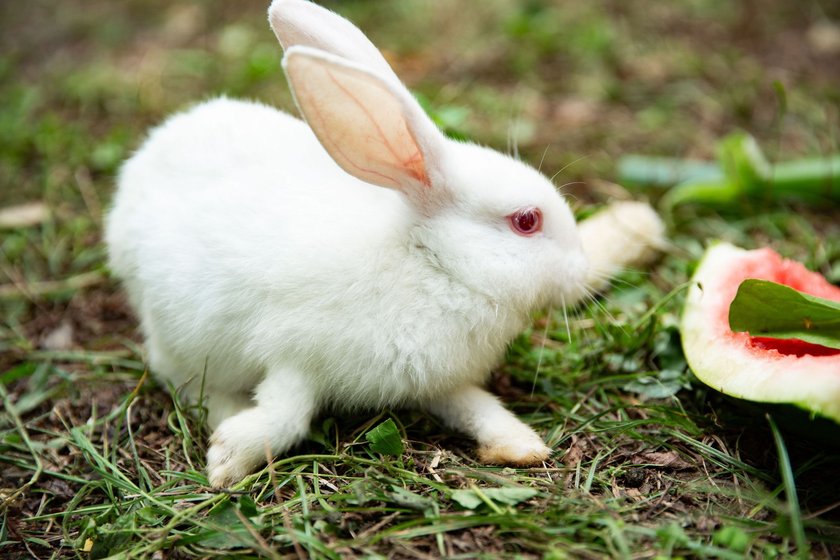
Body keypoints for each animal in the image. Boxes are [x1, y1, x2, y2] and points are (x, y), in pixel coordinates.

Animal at [106, 0, 664, 488]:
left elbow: (478, 405)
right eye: (526, 221)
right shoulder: (295, 356)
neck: (433, 263)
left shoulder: (438, 381)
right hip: (172, 326)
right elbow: (287, 415)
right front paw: (227, 460)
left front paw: (521, 446)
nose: (580, 271)